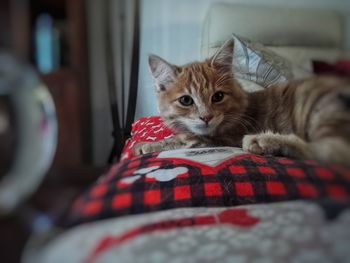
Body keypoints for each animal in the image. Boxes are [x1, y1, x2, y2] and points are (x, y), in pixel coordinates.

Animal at [134, 39, 350, 165]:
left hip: (324, 109)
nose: (206, 117)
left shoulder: (224, 138)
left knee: (332, 152)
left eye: (218, 96)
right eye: (186, 100)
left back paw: (265, 140)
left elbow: (182, 140)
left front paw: (149, 145)